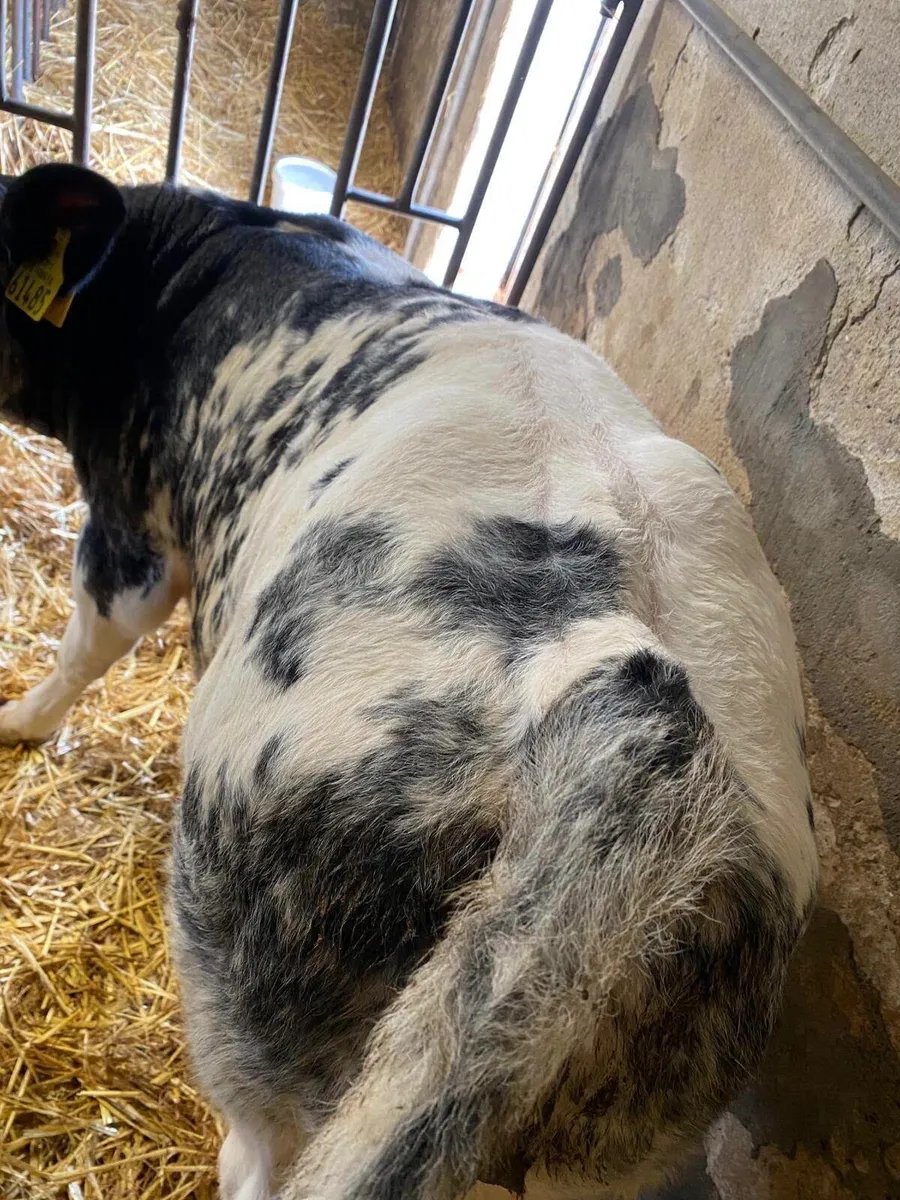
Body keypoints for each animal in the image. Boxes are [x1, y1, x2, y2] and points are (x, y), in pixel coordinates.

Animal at [0, 163, 817, 1200]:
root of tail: (626, 708)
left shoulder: (129, 516)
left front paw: (17, 718)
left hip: (264, 984)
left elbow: (88, 640)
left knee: (261, 1148)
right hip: (631, 1117)